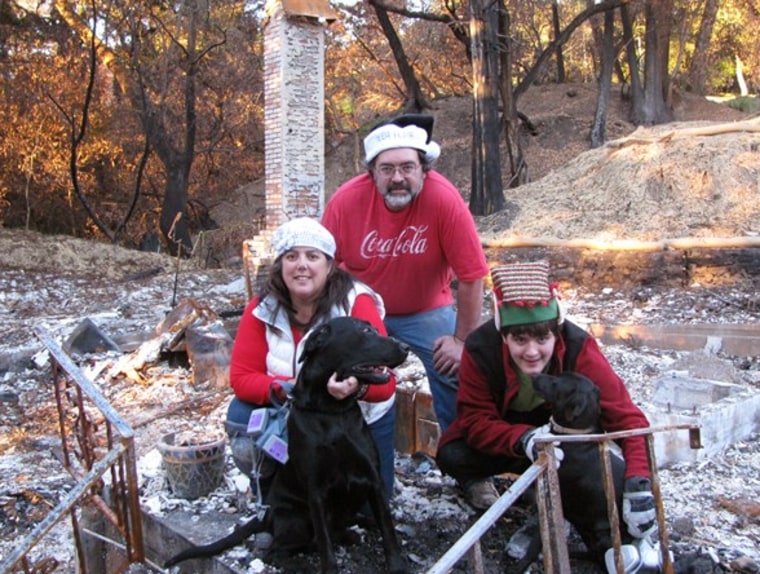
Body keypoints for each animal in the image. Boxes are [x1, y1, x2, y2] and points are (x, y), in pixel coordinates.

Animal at [165, 318, 410, 572]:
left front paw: (396, 564)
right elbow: (325, 543)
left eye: (373, 328)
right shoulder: (316, 492)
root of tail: (269, 514)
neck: (331, 411)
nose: (405, 348)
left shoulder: (373, 479)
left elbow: (387, 529)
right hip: (297, 518)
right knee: (279, 551)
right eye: (365, 331)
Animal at [512, 374, 628, 572]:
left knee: (599, 557)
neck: (574, 435)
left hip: (603, 535)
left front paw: (520, 566)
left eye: (556, 382)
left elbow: (535, 545)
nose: (533, 375)